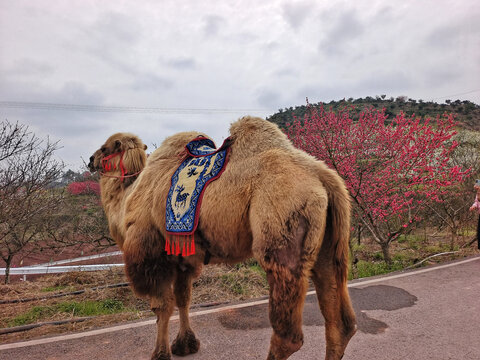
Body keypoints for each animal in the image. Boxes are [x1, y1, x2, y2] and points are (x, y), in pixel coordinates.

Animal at [88, 116, 356, 360]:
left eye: (105, 147)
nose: (91, 160)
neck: (128, 196)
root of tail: (322, 176)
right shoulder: (183, 257)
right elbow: (183, 299)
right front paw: (185, 345)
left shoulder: (152, 252)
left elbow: (161, 306)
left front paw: (160, 353)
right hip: (329, 242)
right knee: (340, 320)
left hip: (282, 227)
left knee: (289, 332)